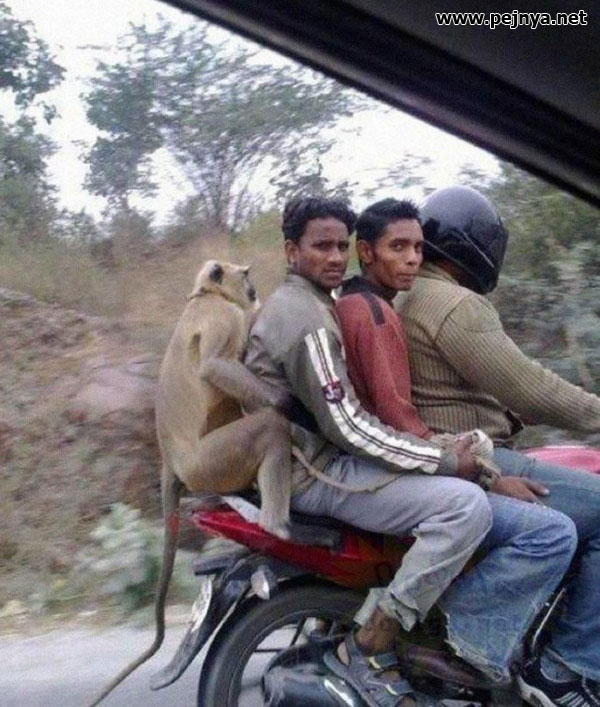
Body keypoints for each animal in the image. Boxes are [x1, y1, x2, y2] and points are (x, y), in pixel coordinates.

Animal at [89, 260, 322, 706]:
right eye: (244, 274)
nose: (253, 288)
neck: (205, 297)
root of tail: (172, 462)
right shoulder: (225, 318)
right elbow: (215, 366)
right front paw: (291, 405)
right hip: (212, 462)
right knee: (266, 427)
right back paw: (279, 524)